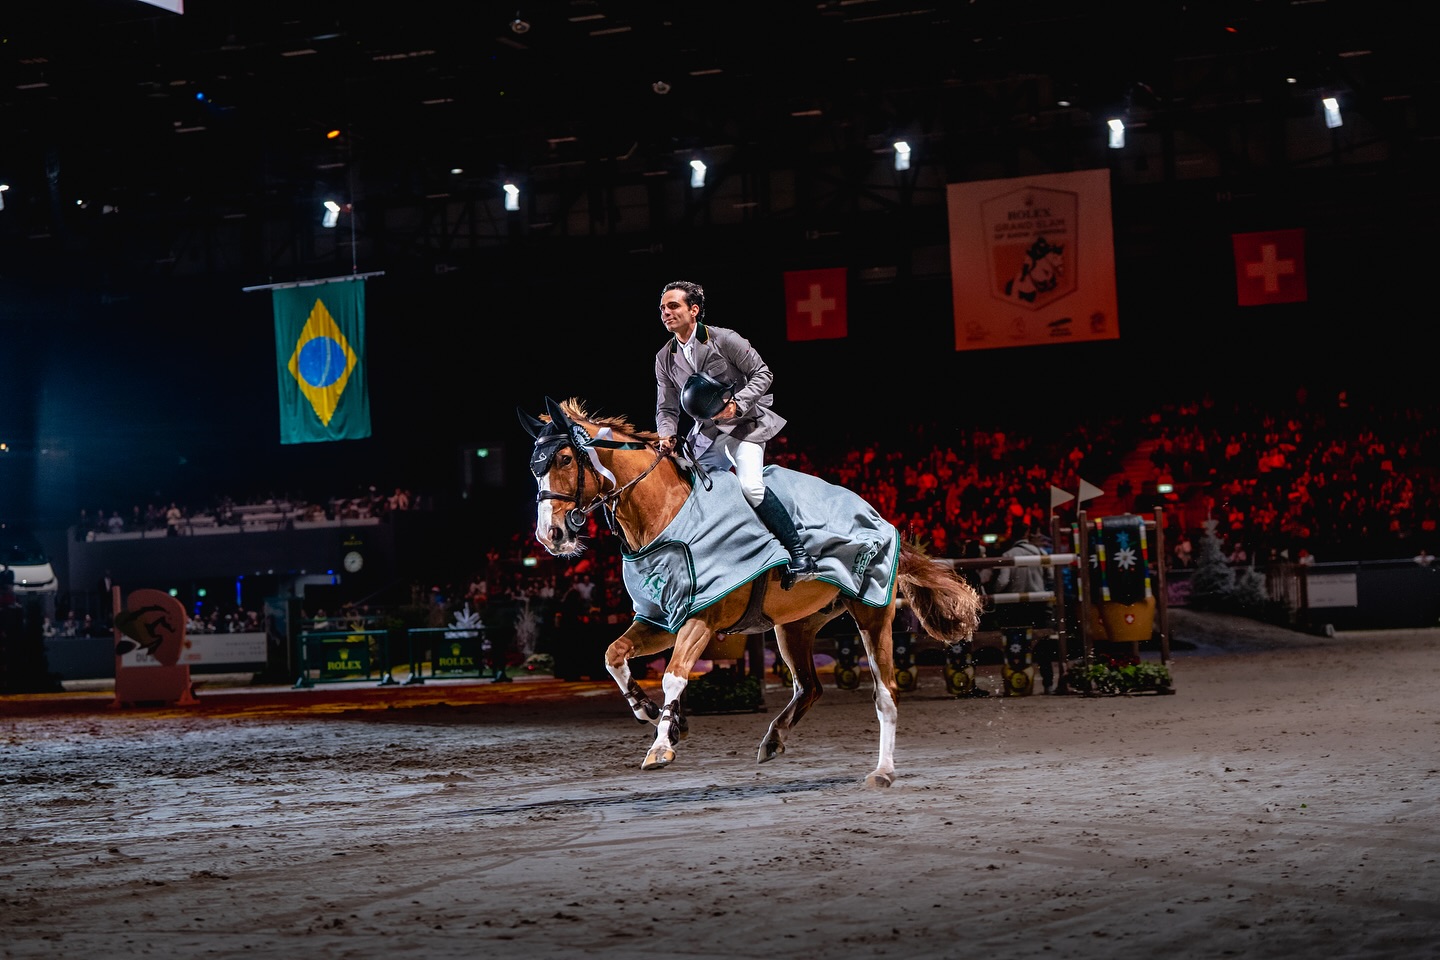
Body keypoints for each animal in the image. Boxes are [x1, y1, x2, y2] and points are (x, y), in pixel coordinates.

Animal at [517, 396, 983, 788]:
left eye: (564, 458)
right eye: (534, 467)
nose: (549, 535)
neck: (667, 516)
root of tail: (882, 520)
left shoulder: (701, 619)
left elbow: (673, 675)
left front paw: (662, 744)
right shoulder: (659, 618)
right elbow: (613, 656)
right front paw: (651, 713)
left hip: (871, 612)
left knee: (886, 693)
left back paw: (882, 772)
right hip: (793, 627)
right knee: (809, 687)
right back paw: (773, 740)